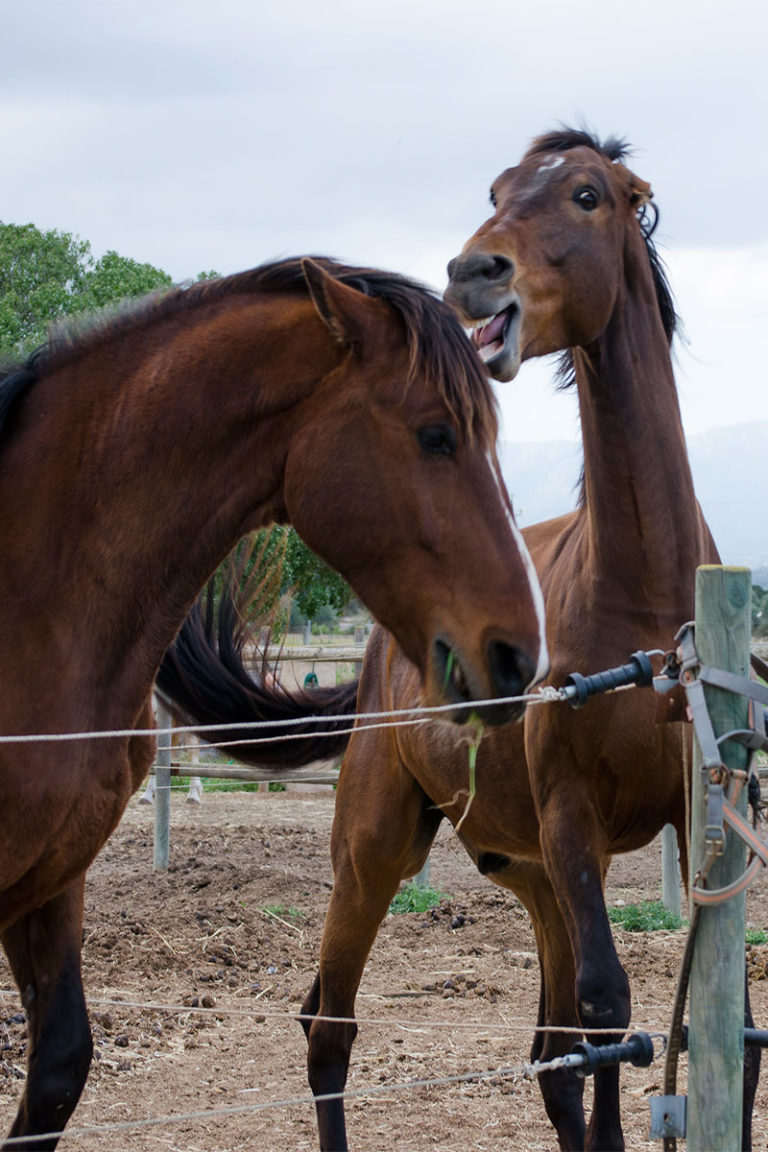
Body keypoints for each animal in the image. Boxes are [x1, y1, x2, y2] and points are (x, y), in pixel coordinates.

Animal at [157, 130, 764, 1147]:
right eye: (496, 190)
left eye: (589, 193)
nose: (471, 273)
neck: (643, 609)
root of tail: (378, 655)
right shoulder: (574, 819)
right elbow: (610, 1012)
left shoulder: (694, 820)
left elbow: (725, 1026)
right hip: (377, 849)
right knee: (329, 1020)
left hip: (534, 876)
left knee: (548, 1058)